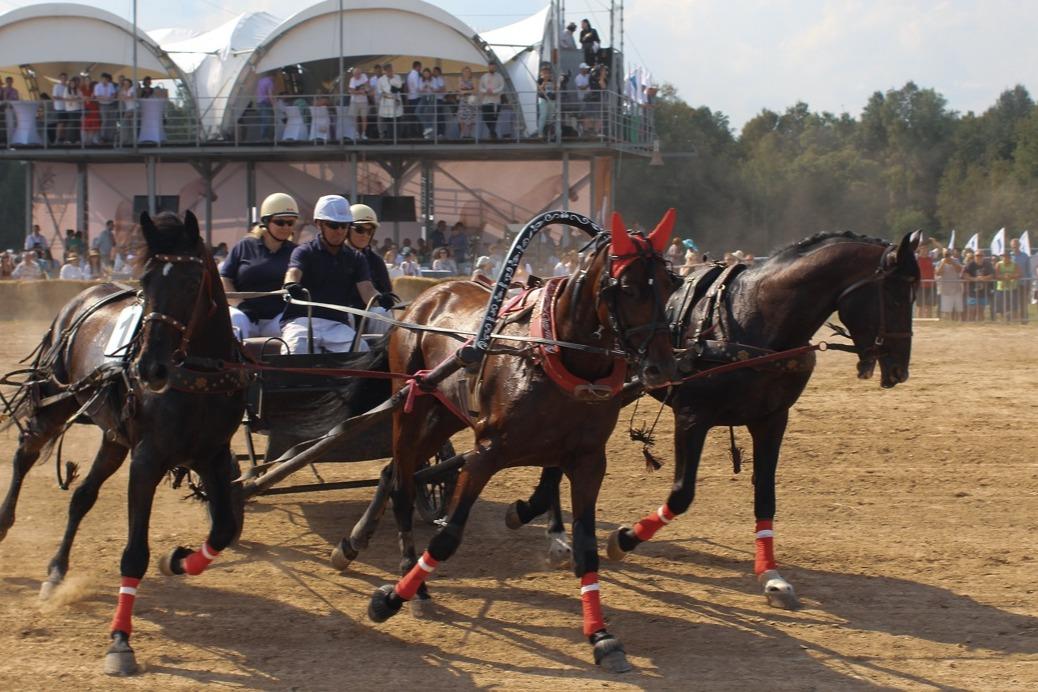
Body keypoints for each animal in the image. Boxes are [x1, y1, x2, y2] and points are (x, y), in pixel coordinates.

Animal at [0, 212, 246, 676]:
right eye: (145, 280)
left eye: (192, 281)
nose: (149, 367)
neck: (196, 377)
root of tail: (84, 297)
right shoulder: (147, 459)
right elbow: (134, 554)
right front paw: (119, 642)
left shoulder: (214, 456)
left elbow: (224, 530)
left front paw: (179, 560)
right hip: (55, 401)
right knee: (24, 454)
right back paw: (4, 522)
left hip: (114, 438)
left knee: (82, 496)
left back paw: (56, 572)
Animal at [328, 211, 676, 672]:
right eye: (628, 288)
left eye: (670, 284)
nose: (663, 367)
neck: (554, 354)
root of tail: (425, 298)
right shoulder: (485, 455)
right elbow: (448, 538)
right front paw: (389, 599)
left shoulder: (588, 461)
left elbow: (586, 548)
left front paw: (601, 636)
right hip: (412, 403)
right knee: (402, 485)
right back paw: (407, 581)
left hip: (443, 415)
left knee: (395, 472)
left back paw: (356, 543)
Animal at [506, 230, 921, 610]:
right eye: (896, 295)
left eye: (914, 294)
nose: (899, 369)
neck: (753, 320)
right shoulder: (692, 418)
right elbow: (681, 494)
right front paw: (624, 539)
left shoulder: (772, 419)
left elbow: (765, 494)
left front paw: (771, 576)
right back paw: (548, 526)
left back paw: (550, 525)